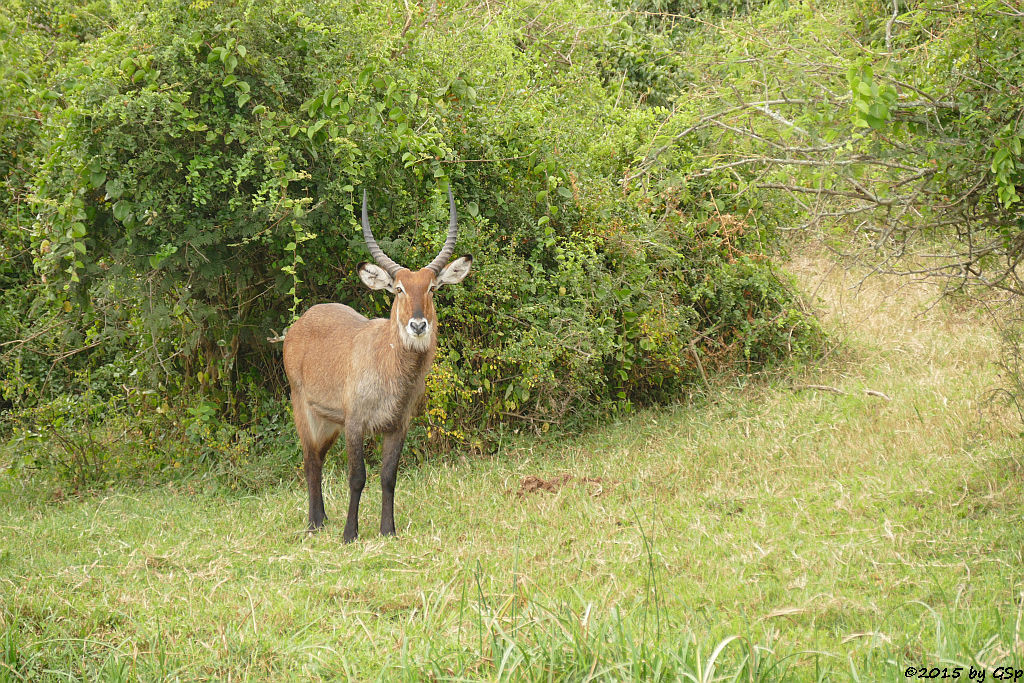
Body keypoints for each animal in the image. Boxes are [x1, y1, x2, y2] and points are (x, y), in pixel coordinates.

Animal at [282, 187, 468, 540]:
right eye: (399, 289)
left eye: (432, 288)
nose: (418, 325)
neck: (391, 366)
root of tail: (304, 320)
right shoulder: (355, 424)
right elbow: (357, 478)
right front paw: (350, 534)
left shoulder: (397, 426)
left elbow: (388, 477)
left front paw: (387, 530)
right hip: (305, 410)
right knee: (310, 461)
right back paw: (314, 524)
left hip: (329, 422)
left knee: (319, 460)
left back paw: (322, 518)